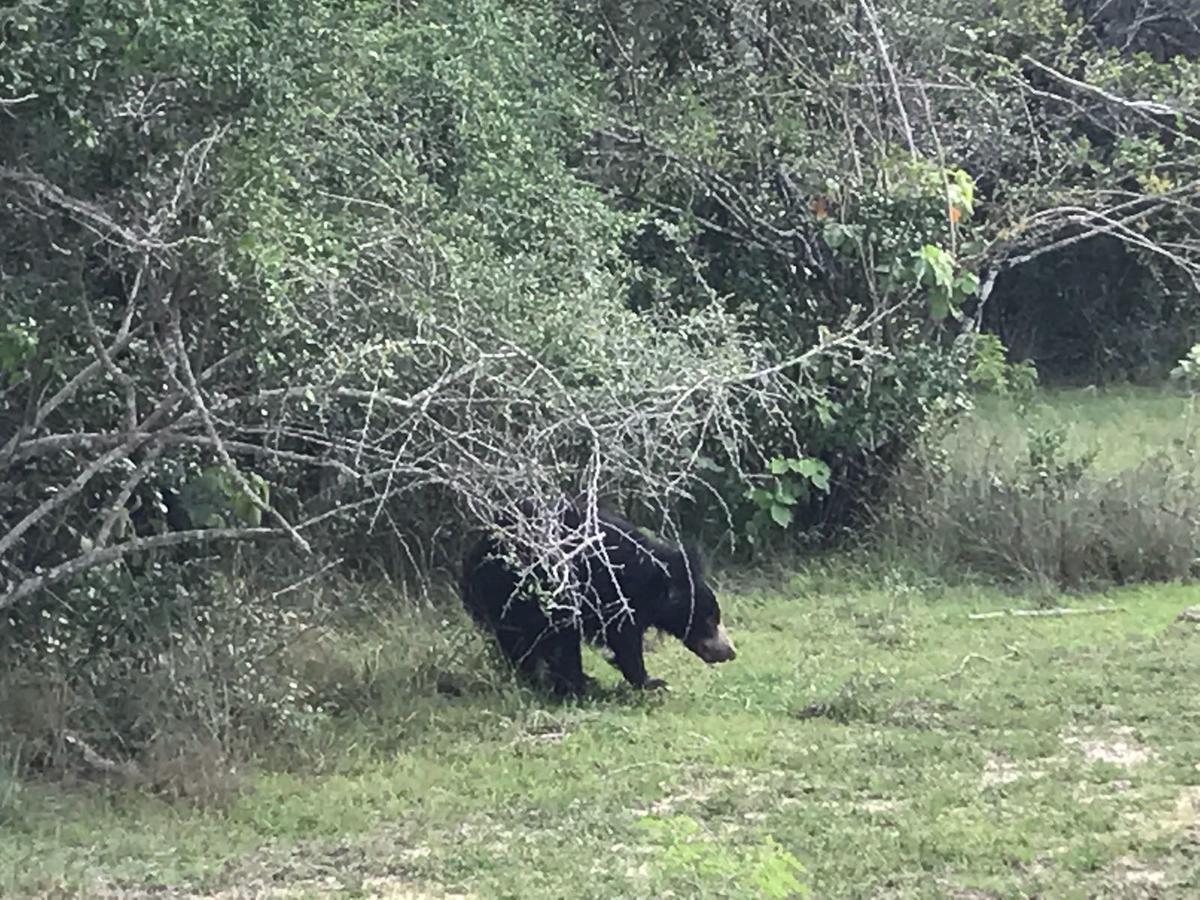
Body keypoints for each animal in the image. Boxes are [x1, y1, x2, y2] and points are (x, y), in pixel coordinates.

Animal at [460, 508, 734, 696]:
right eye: (710, 618)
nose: (730, 652)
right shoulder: (610, 594)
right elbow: (624, 641)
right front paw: (652, 682)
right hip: (522, 596)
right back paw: (572, 684)